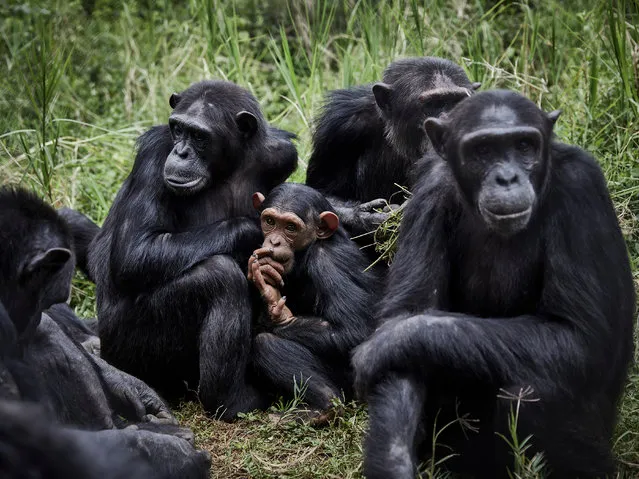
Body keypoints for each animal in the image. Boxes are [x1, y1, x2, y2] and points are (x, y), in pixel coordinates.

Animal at [85, 79, 300, 420]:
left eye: (199, 136)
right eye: (177, 129)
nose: (181, 151)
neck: (228, 166)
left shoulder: (282, 154)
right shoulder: (154, 153)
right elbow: (136, 251)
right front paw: (255, 230)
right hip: (128, 349)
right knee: (219, 276)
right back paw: (231, 400)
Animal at [246, 184, 378, 416]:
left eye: (290, 227)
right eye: (270, 221)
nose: (274, 241)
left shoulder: (328, 262)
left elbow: (354, 330)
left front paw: (277, 314)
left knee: (266, 343)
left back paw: (324, 405)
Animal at [352, 91, 636, 479]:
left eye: (523, 145)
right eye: (483, 150)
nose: (506, 177)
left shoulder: (581, 188)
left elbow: (578, 336)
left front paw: (385, 342)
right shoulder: (427, 190)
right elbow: (408, 319)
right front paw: (395, 464)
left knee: (531, 393)